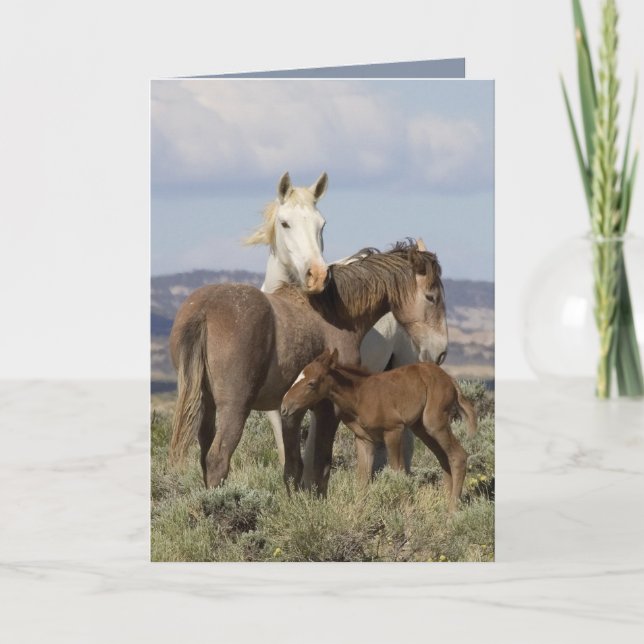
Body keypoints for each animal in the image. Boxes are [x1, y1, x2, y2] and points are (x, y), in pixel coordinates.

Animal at [168, 241, 445, 494]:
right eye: (431, 297)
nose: (440, 351)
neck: (334, 315)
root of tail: (204, 310)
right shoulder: (328, 408)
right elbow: (321, 464)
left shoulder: (292, 410)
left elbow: (293, 467)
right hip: (235, 407)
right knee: (218, 459)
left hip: (207, 406)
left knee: (205, 457)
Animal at [281, 348, 476, 512]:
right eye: (297, 378)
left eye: (311, 383)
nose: (284, 408)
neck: (359, 396)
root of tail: (451, 380)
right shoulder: (364, 439)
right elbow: (362, 478)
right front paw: (359, 513)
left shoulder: (393, 430)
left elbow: (398, 472)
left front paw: (406, 511)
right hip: (421, 428)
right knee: (443, 457)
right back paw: (445, 504)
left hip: (434, 422)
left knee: (458, 455)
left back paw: (452, 511)